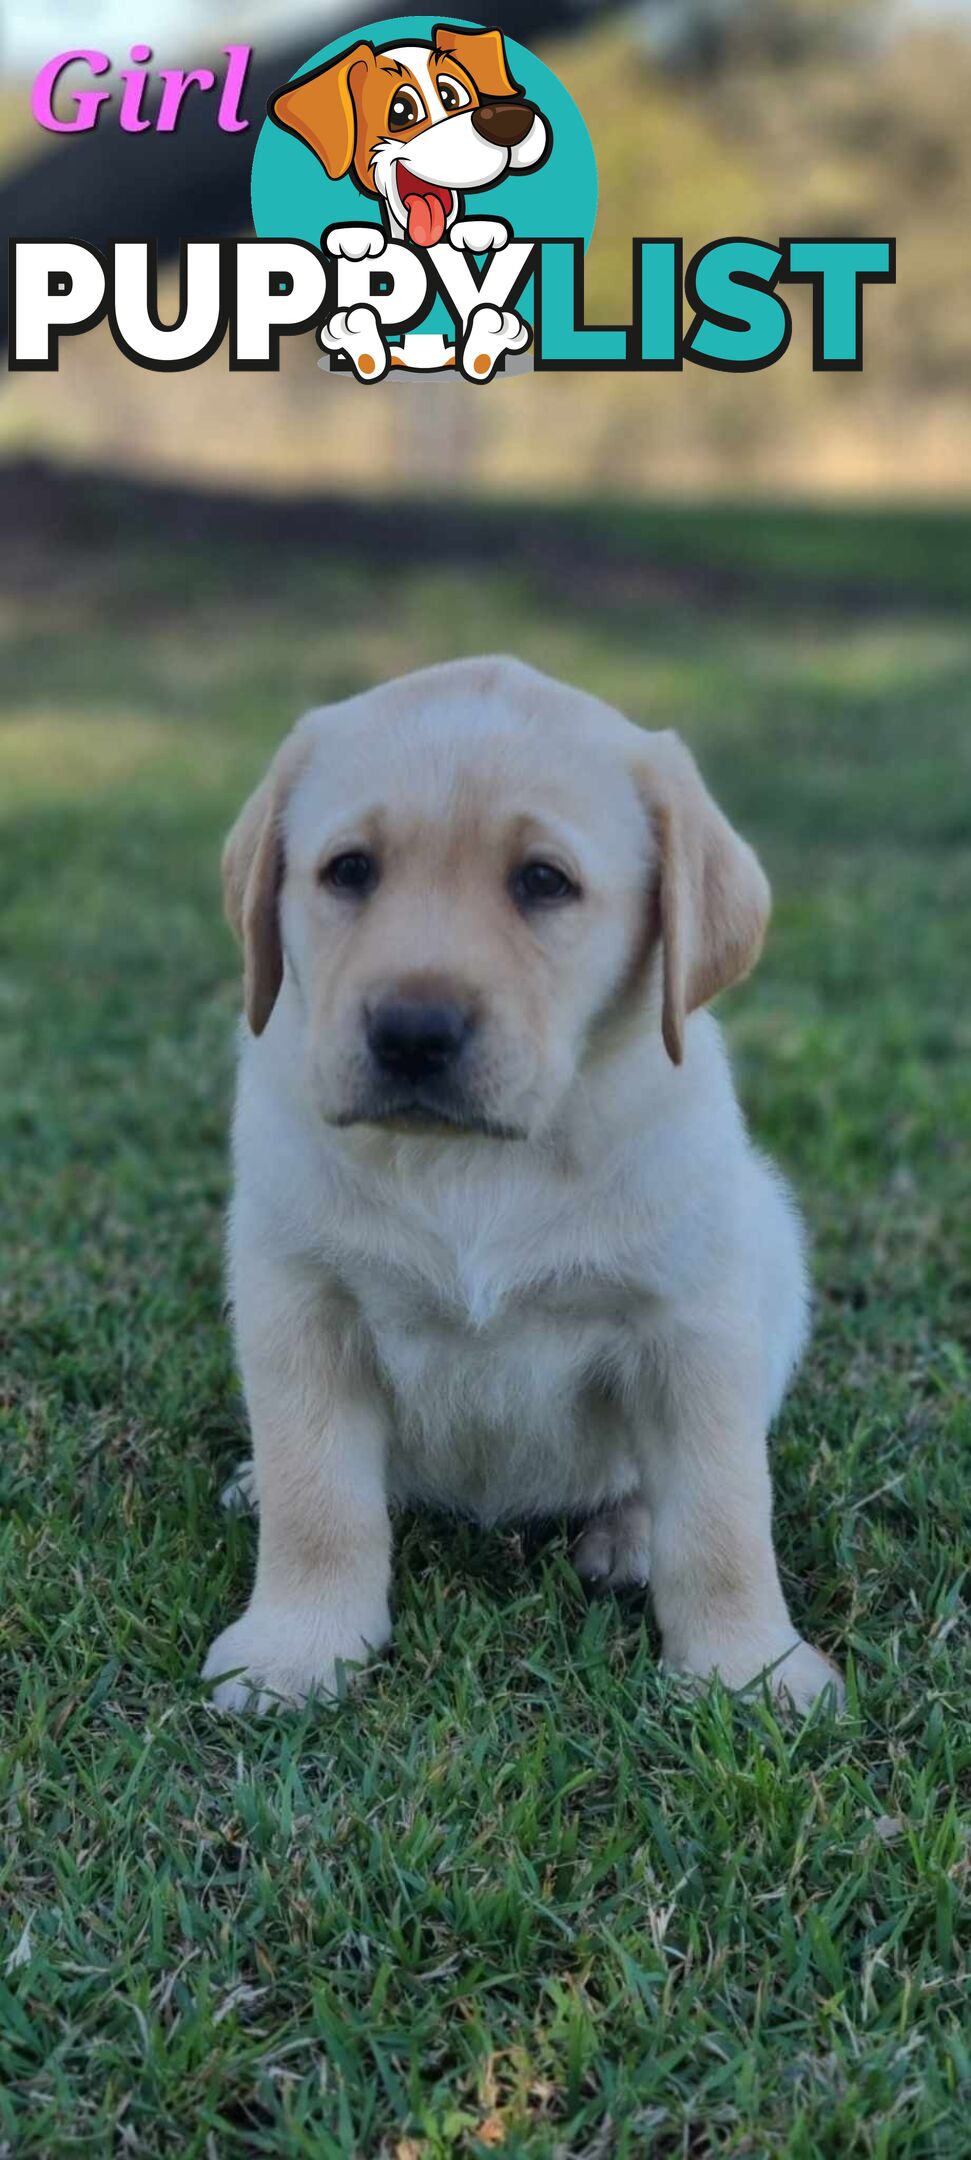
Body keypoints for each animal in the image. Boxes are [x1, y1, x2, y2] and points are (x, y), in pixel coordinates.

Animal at [204, 656, 841, 1719]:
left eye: (543, 882)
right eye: (349, 871)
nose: (412, 1032)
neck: (471, 1160)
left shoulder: (693, 1323)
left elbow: (720, 1512)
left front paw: (748, 1668)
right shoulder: (300, 1303)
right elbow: (317, 1499)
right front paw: (295, 1647)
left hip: (771, 1255)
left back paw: (630, 1533)